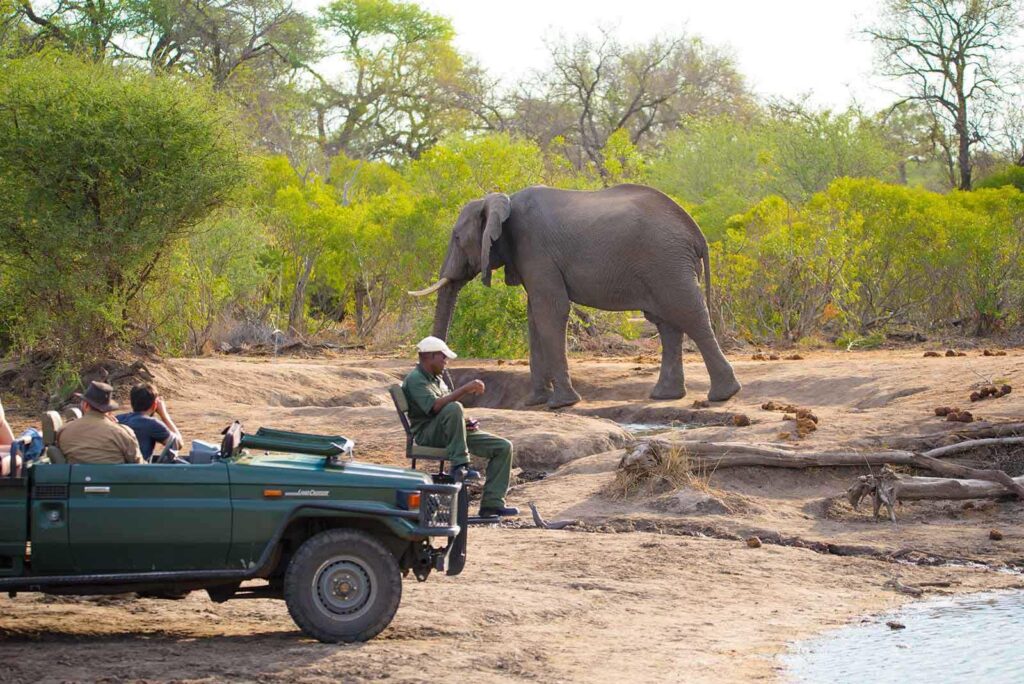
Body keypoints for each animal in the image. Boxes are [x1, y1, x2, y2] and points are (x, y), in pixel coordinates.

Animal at [408, 184, 741, 409]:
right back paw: (665, 396)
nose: (449, 385)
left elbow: (550, 312)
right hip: (664, 263)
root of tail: (696, 233)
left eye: (456, 238)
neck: (502, 199)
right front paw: (535, 402)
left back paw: (723, 394)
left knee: (688, 313)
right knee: (667, 323)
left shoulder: (535, 249)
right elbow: (535, 316)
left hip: (666, 260)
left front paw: (561, 403)